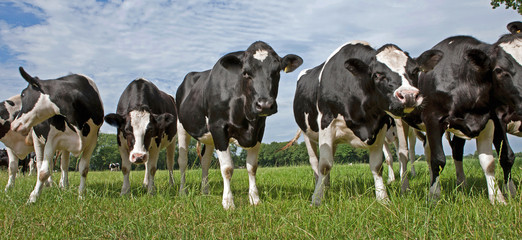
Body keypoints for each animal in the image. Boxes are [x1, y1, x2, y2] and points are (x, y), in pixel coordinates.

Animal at [10, 67, 103, 202]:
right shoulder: (51, 139)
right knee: (40, 164)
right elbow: (44, 172)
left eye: (23, 94)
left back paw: (63, 185)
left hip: (65, 147)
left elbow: (83, 169)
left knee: (63, 166)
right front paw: (33, 197)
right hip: (37, 140)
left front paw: (81, 196)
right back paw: (47, 185)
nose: (13, 124)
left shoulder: (92, 141)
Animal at [177, 40, 302, 208]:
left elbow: (252, 167)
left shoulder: (259, 130)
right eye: (246, 73)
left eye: (277, 72)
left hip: (209, 137)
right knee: (183, 161)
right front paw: (228, 202)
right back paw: (182, 191)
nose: (265, 105)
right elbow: (227, 168)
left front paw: (255, 199)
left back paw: (205, 191)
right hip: (181, 126)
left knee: (205, 161)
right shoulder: (218, 127)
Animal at [290, 40, 440, 204]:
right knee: (315, 162)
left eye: (415, 71)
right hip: (307, 134)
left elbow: (377, 165)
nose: (409, 95)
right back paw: (320, 185)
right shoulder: (326, 123)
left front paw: (382, 198)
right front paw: (317, 199)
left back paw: (327, 186)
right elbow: (324, 165)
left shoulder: (380, 126)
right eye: (377, 74)